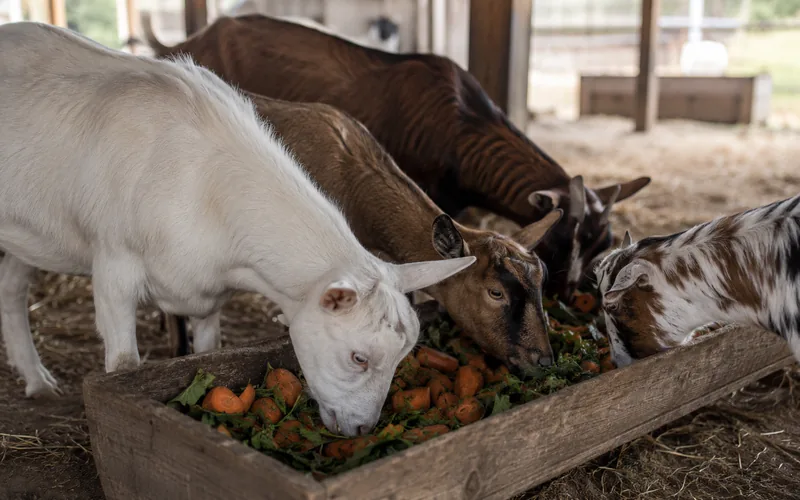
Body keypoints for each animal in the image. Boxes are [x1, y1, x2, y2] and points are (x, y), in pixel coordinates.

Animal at [0, 22, 473, 436]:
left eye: (403, 356)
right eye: (359, 358)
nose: (362, 429)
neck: (202, 182)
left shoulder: (206, 294)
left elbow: (207, 354)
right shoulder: (115, 269)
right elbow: (123, 365)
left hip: (25, 234)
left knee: (12, 287)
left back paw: (38, 381)